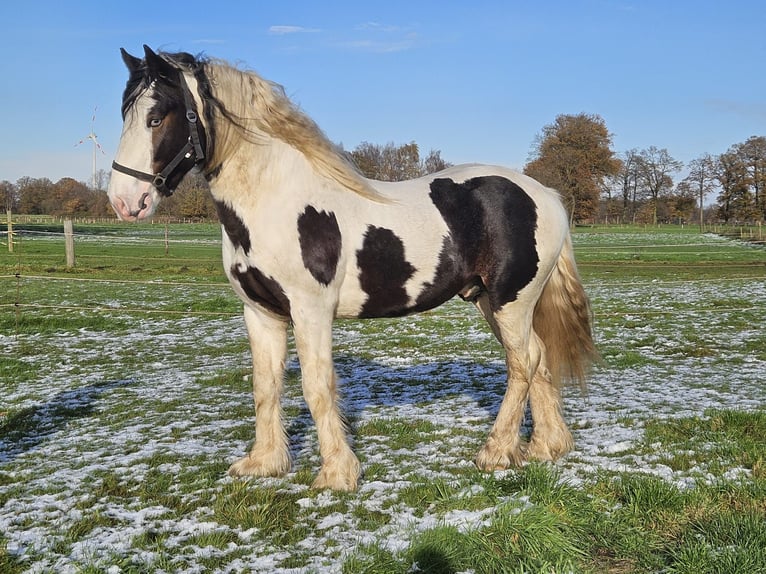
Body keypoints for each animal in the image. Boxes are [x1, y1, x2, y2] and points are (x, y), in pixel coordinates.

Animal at [108, 46, 600, 496]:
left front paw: (336, 475)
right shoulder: (261, 313)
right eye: (124, 113)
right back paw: (545, 448)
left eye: (157, 118)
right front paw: (264, 464)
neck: (276, 202)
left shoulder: (310, 312)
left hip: (509, 302)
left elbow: (317, 386)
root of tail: (546, 196)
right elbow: (266, 386)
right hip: (490, 302)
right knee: (538, 358)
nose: (125, 201)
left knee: (523, 363)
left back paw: (495, 452)